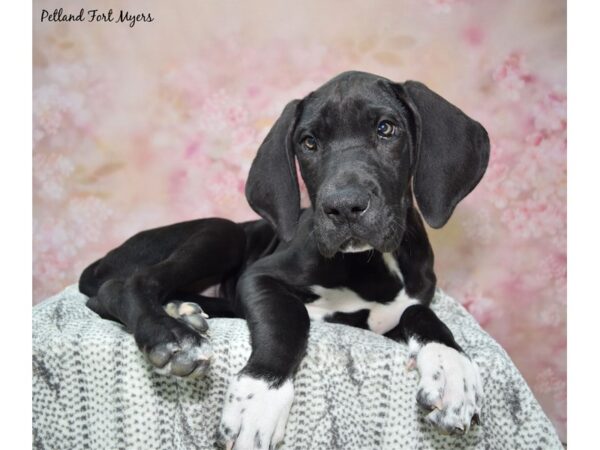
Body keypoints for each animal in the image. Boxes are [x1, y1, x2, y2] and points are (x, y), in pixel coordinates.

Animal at [79, 71, 490, 450]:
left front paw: (452, 369)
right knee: (121, 286)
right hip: (221, 233)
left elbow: (418, 312)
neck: (364, 266)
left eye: (386, 128)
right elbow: (289, 322)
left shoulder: (390, 316)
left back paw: (184, 311)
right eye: (309, 142)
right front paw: (259, 398)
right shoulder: (261, 277)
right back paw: (171, 336)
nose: (344, 207)